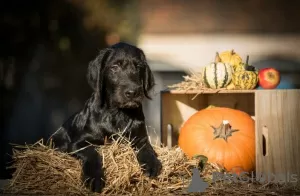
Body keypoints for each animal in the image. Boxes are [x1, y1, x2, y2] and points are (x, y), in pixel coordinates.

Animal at [49, 42, 162, 191]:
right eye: (114, 67)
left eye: (138, 67)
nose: (132, 92)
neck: (118, 114)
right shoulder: (77, 143)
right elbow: (92, 154)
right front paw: (94, 178)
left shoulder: (140, 138)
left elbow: (147, 149)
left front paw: (152, 164)